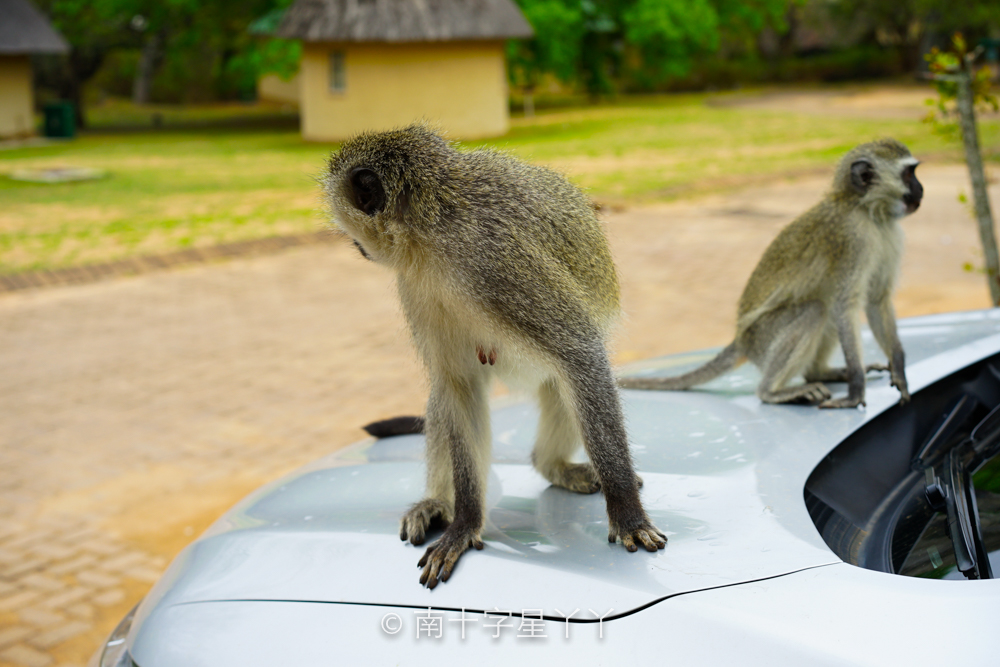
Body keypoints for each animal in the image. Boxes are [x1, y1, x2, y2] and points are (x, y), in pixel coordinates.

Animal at [324, 125, 664, 588]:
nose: (357, 247)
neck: (434, 218)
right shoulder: (417, 284)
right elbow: (458, 386)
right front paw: (465, 522)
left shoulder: (491, 260)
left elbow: (579, 351)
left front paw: (627, 513)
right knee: (446, 395)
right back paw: (440, 502)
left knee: (570, 383)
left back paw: (554, 465)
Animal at [620, 139, 924, 410]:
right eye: (909, 174)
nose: (921, 190)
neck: (867, 211)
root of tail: (741, 340)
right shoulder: (851, 238)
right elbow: (845, 305)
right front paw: (856, 390)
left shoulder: (889, 234)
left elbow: (877, 300)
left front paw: (899, 368)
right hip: (762, 339)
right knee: (816, 309)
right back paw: (772, 391)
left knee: (822, 308)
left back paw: (820, 373)